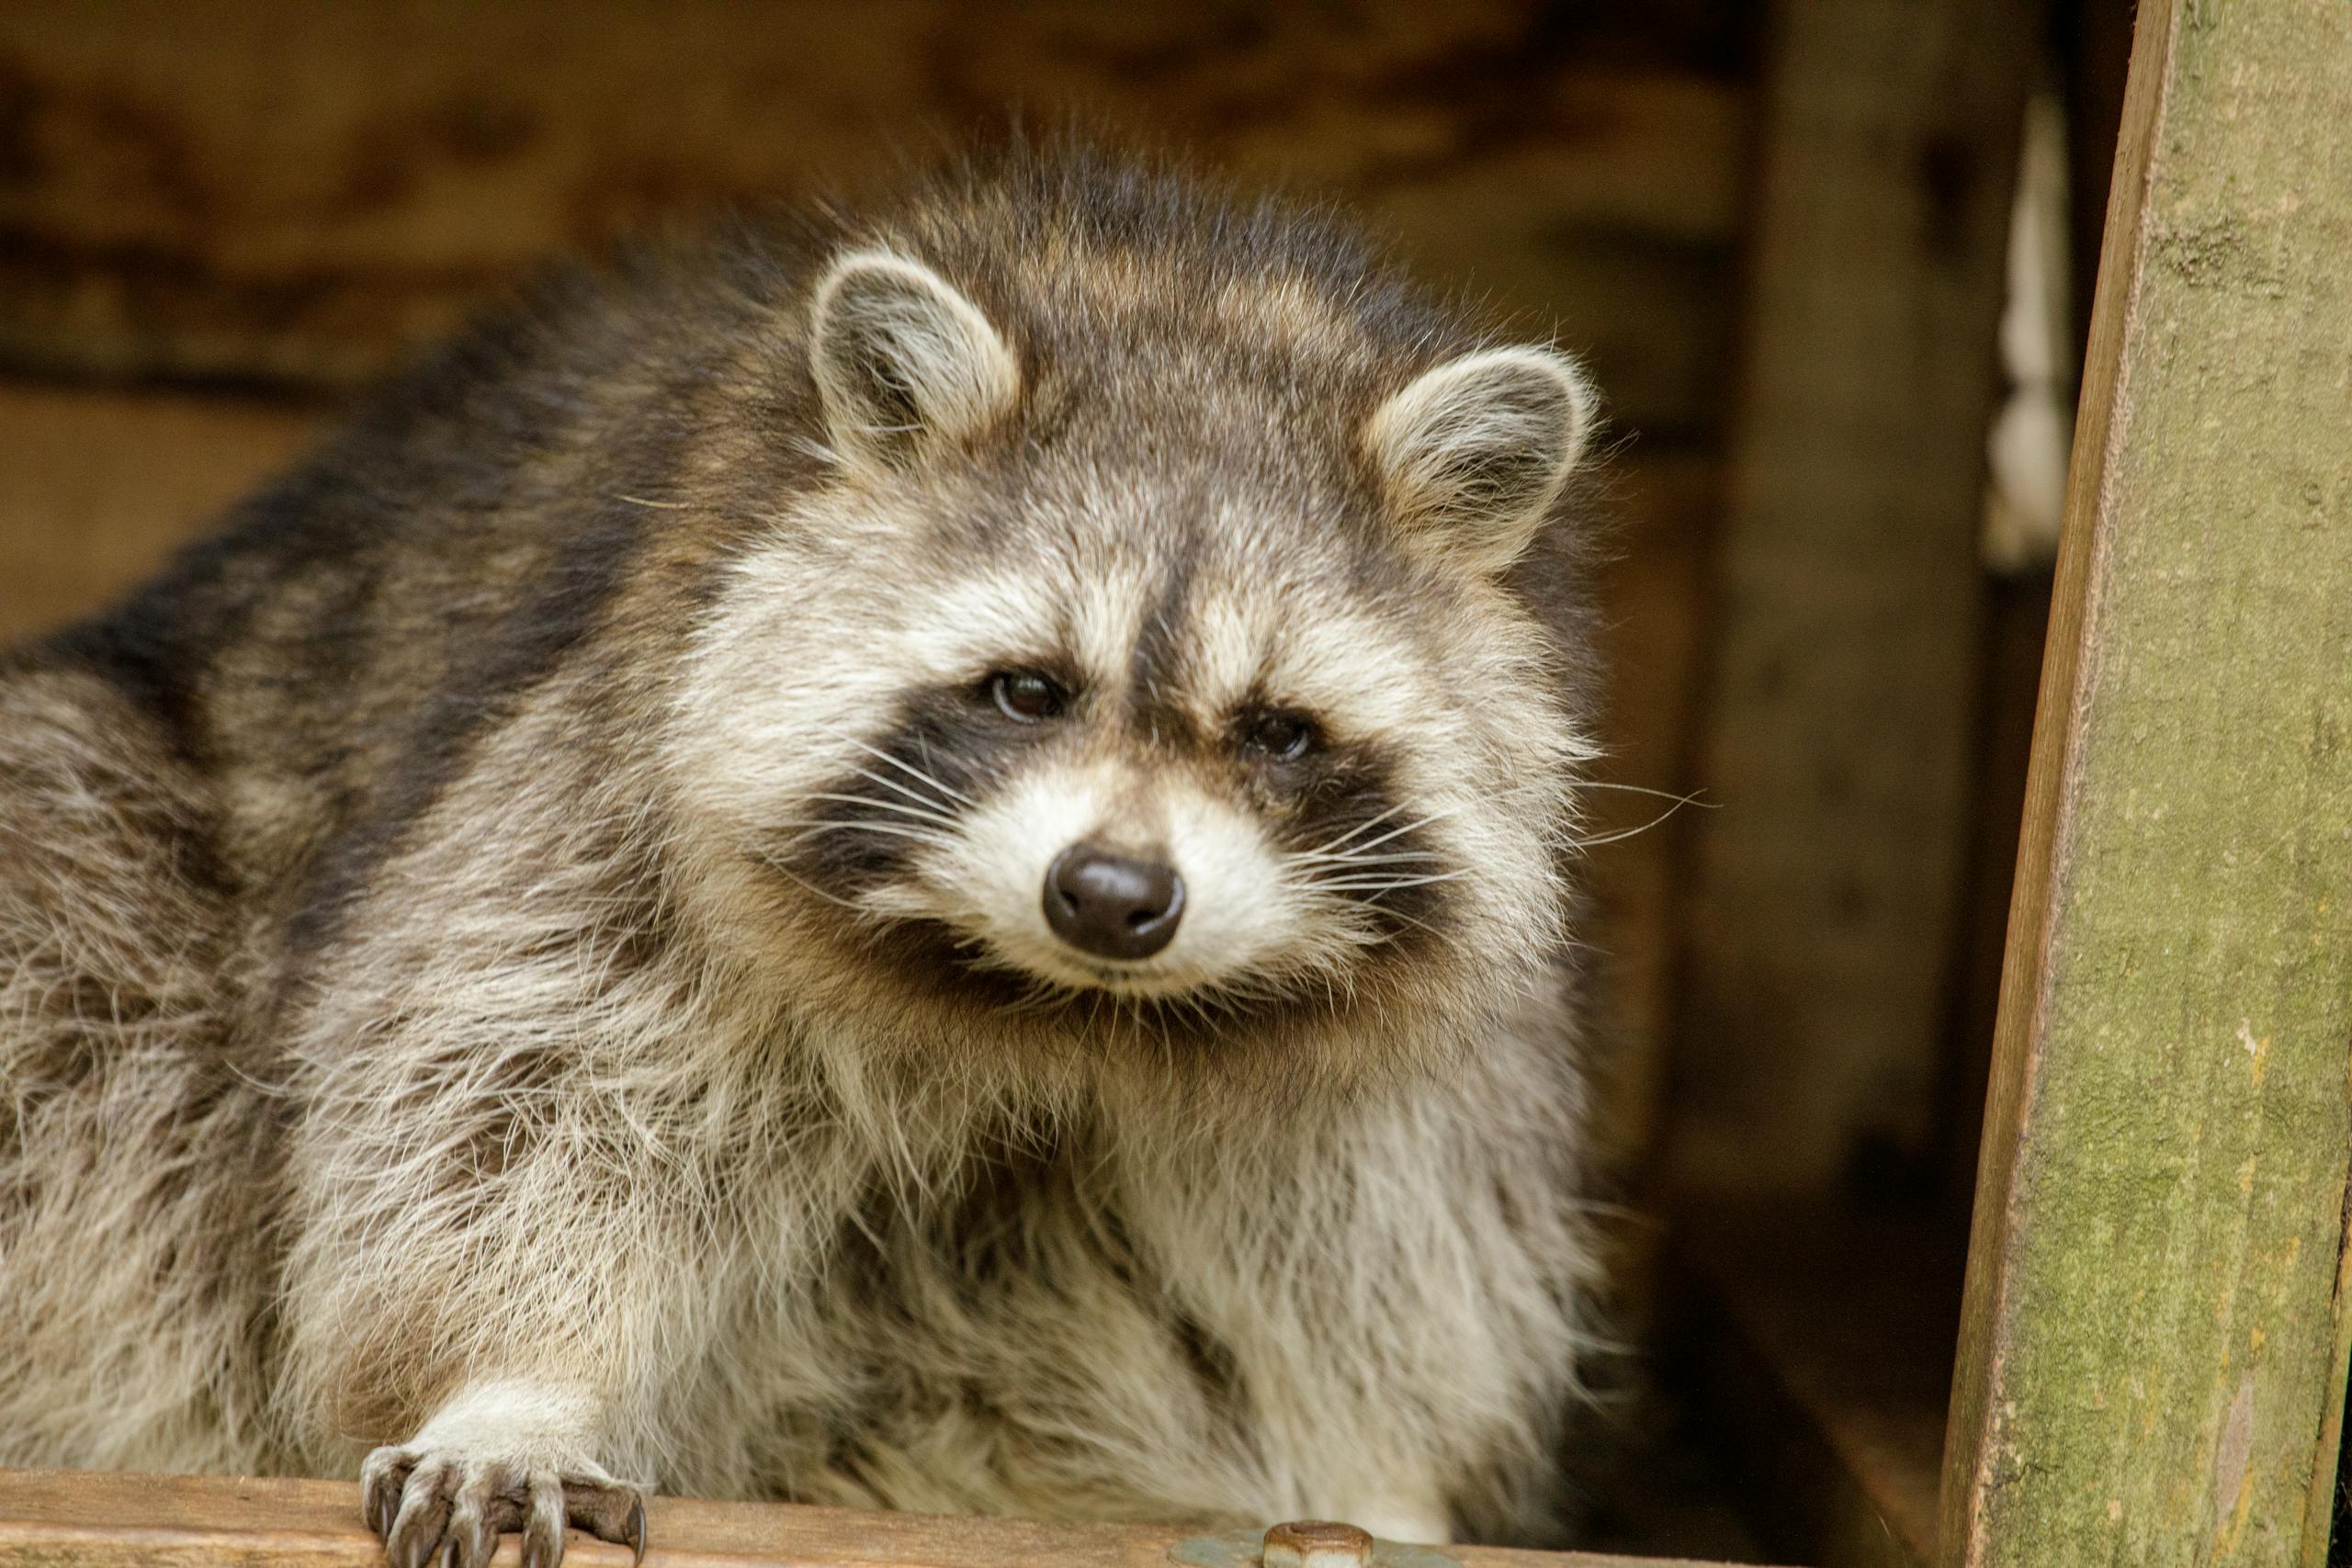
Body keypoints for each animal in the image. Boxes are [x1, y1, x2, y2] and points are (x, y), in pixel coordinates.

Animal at [0, 149, 1607, 1563]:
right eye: (1028, 688)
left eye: (1276, 730)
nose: (1111, 896)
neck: (1059, 1009)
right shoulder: (621, 767)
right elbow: (514, 1088)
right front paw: (514, 1384)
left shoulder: (1417, 1056)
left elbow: (1377, 1244)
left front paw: (1375, 1470)